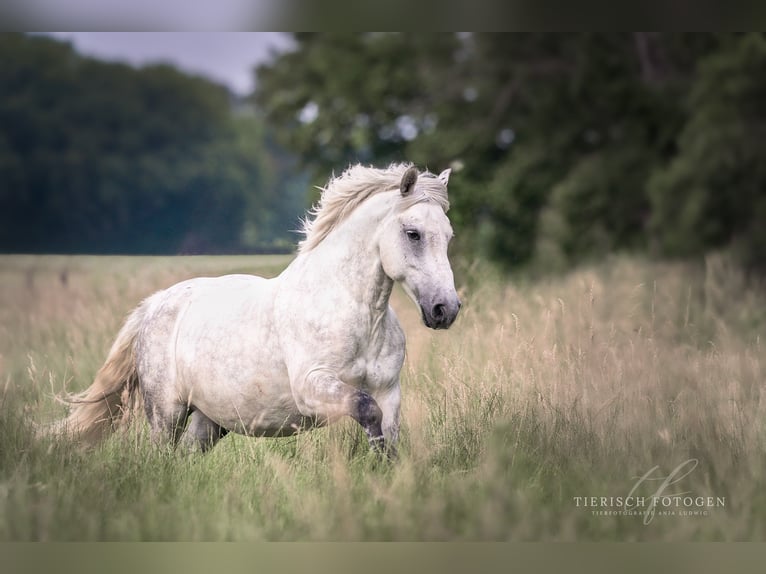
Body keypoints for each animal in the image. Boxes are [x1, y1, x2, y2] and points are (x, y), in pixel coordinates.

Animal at [51, 163, 461, 457]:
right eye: (412, 233)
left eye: (448, 236)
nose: (446, 309)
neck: (356, 314)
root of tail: (155, 304)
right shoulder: (313, 387)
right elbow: (365, 409)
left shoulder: (389, 391)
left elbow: (386, 435)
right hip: (166, 414)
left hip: (209, 422)